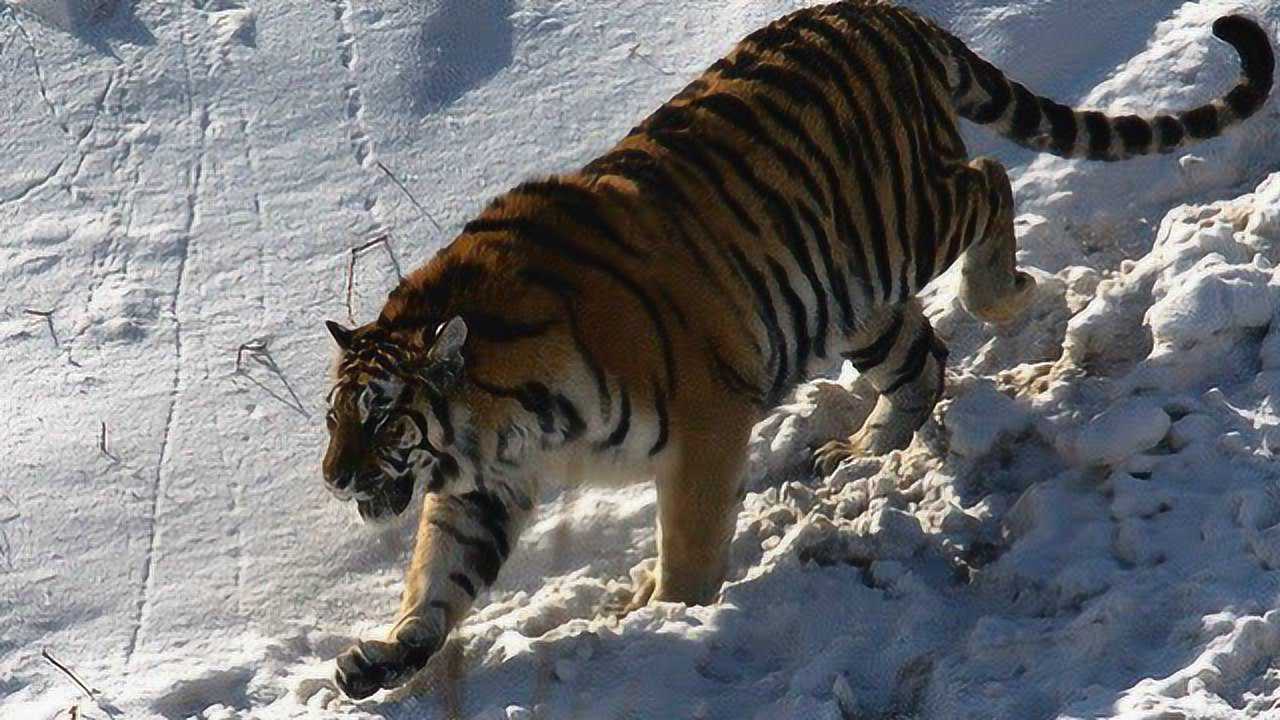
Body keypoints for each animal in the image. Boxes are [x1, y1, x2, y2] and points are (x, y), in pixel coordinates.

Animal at [320, 0, 1273, 699]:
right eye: (331, 419)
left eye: (381, 415)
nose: (332, 479)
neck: (498, 417)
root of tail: (888, 13)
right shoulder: (482, 487)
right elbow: (437, 577)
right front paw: (384, 657)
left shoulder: (704, 423)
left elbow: (690, 543)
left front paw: (662, 617)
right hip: (852, 297)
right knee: (922, 356)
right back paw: (862, 448)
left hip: (904, 223)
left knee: (988, 184)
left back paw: (1003, 294)